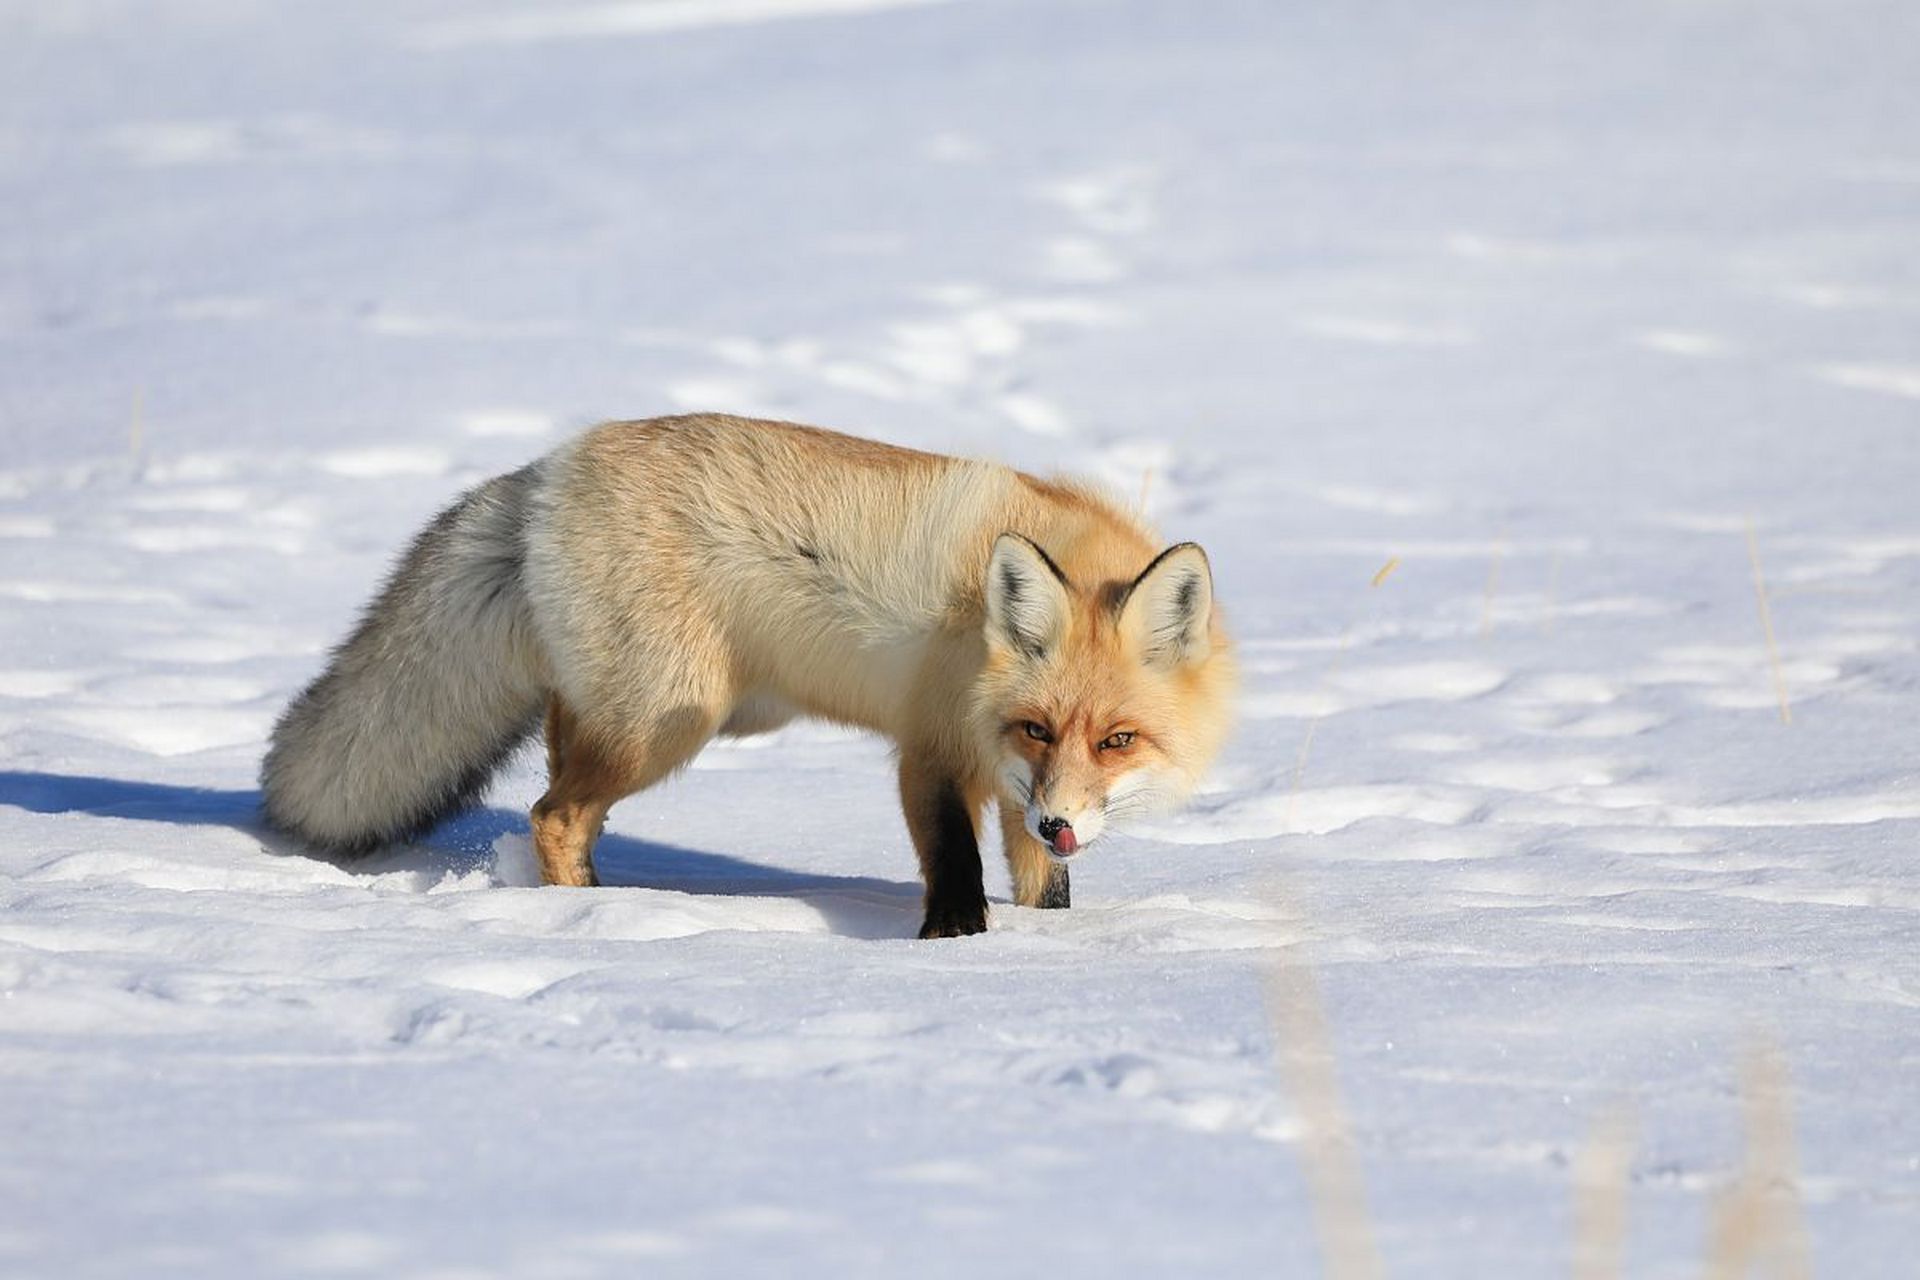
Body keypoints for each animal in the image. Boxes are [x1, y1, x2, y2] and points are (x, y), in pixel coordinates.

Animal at [263, 416, 1236, 936]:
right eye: (1040, 727)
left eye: (1117, 740)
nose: (1060, 821)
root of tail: (545, 472)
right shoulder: (932, 749)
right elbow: (955, 869)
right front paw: (954, 949)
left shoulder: (1010, 789)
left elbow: (1045, 889)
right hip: (670, 722)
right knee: (552, 814)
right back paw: (596, 923)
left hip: (656, 712)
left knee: (559, 782)